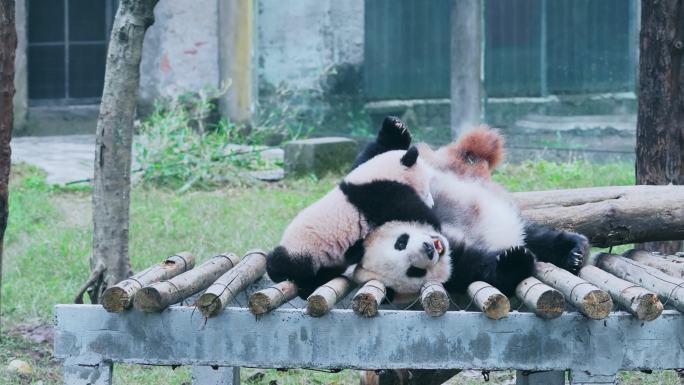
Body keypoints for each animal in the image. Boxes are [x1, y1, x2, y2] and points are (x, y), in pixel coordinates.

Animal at [264, 117, 436, 296]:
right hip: (304, 248)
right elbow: (412, 212)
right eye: (427, 189)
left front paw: (396, 127)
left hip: (328, 261)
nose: (432, 203)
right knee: (286, 263)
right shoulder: (379, 195)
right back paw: (288, 276)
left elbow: (371, 152)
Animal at [352, 120, 588, 300]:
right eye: (414, 270)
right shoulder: (453, 266)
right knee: (536, 239)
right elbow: (475, 268)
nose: (429, 249)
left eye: (401, 242)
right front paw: (514, 262)